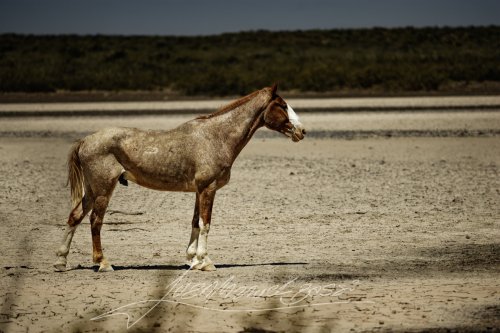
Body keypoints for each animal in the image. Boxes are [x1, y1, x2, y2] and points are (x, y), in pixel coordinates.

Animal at [53, 82, 304, 270]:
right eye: (282, 105)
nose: (302, 131)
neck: (216, 137)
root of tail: (85, 140)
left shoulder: (199, 190)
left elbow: (195, 222)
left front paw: (192, 260)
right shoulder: (208, 189)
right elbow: (206, 224)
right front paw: (205, 262)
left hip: (92, 190)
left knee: (75, 216)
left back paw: (61, 261)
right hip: (103, 189)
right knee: (95, 221)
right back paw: (103, 263)